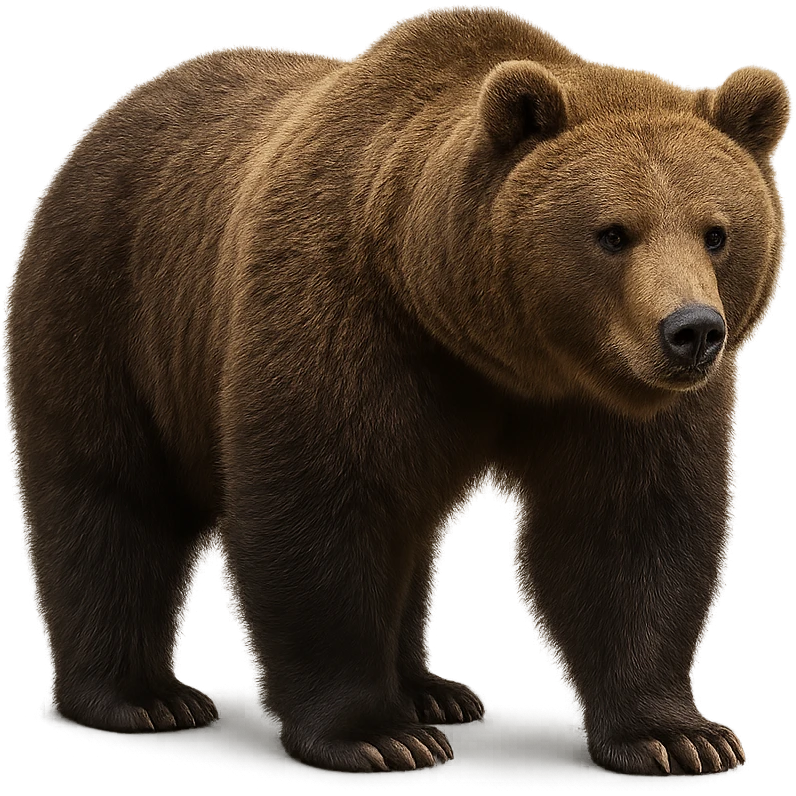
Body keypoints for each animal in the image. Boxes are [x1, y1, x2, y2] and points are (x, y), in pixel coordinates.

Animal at [5, 5, 790, 776]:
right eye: (613, 233)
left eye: (716, 231)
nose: (692, 330)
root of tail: (105, 123)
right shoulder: (346, 316)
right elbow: (323, 508)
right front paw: (374, 735)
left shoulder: (610, 398)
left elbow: (629, 525)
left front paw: (679, 736)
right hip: (108, 306)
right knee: (112, 495)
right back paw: (142, 698)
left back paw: (429, 691)